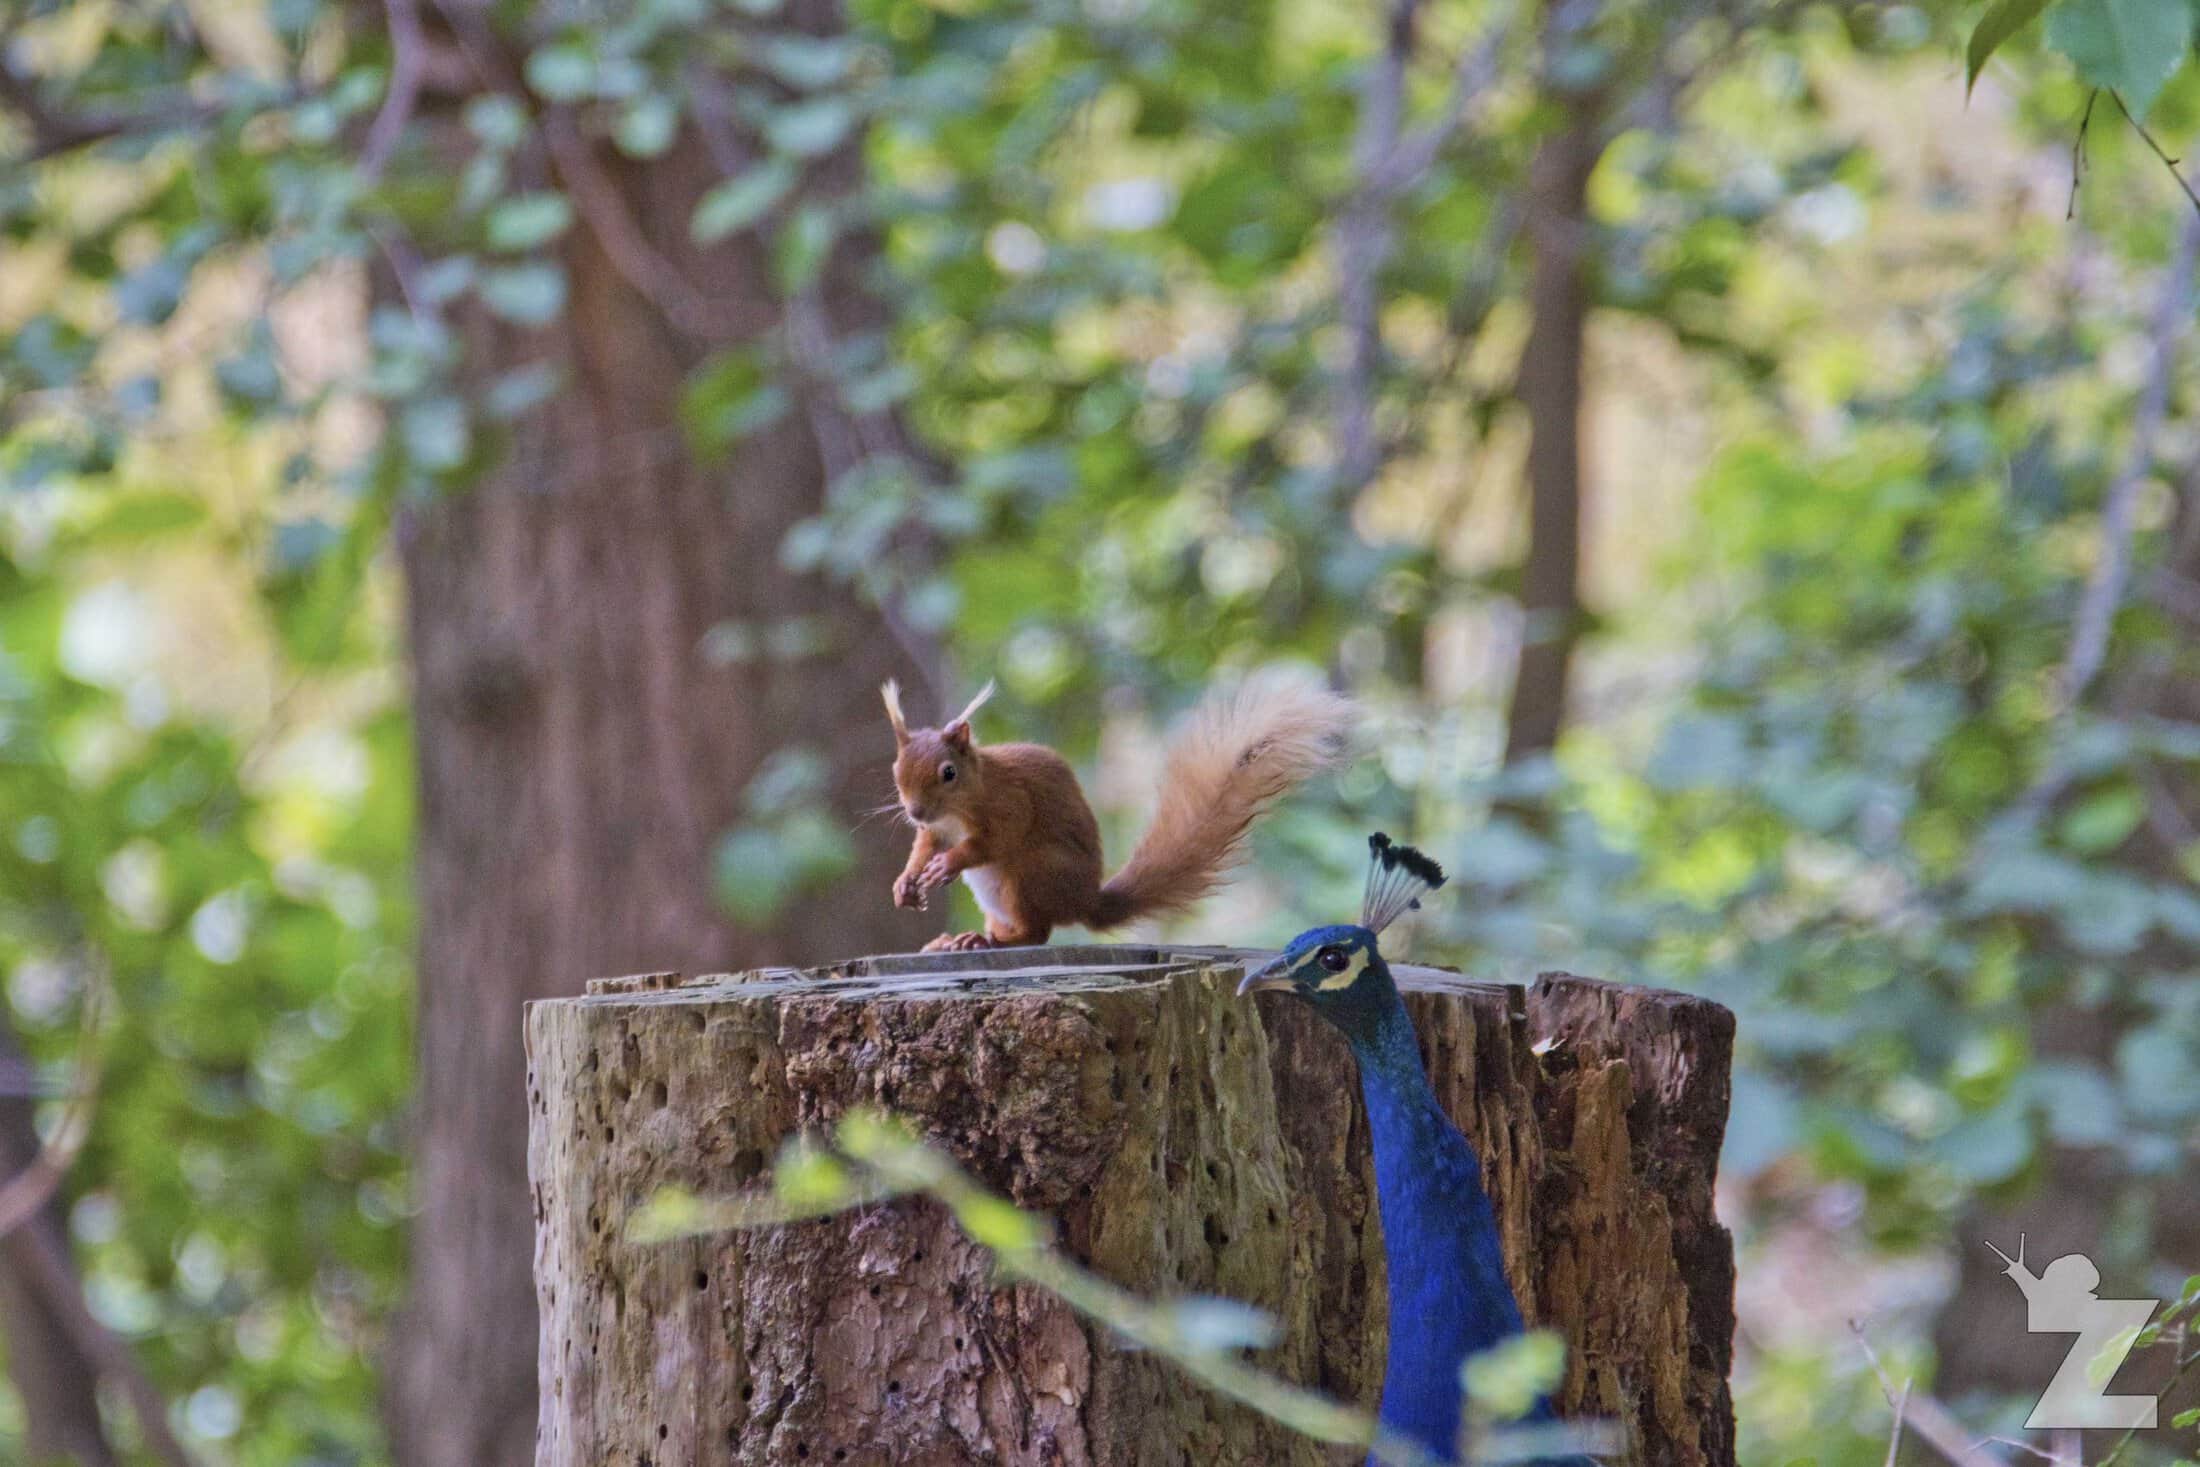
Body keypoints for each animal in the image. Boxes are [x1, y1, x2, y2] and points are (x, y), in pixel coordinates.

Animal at [881, 674, 1355, 952]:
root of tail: (1086, 902)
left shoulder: (1009, 803)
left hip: (1032, 875)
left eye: (948, 772)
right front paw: (907, 881)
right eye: (896, 769)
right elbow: (923, 844)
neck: (965, 798)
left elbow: (995, 839)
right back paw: (957, 940)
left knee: (1038, 933)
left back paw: (988, 942)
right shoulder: (936, 828)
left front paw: (949, 863)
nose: (915, 810)